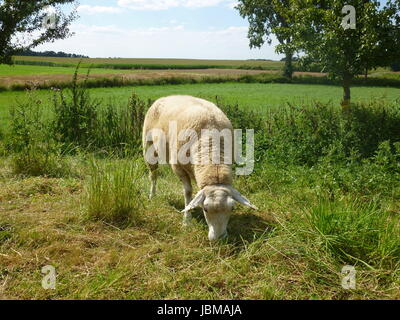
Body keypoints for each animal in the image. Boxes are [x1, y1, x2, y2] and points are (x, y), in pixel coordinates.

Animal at [142, 95, 258, 240]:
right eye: (205, 209)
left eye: (232, 208)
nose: (219, 238)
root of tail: (164, 97)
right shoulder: (178, 169)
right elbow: (188, 192)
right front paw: (187, 220)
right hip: (149, 147)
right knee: (153, 174)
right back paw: (152, 195)